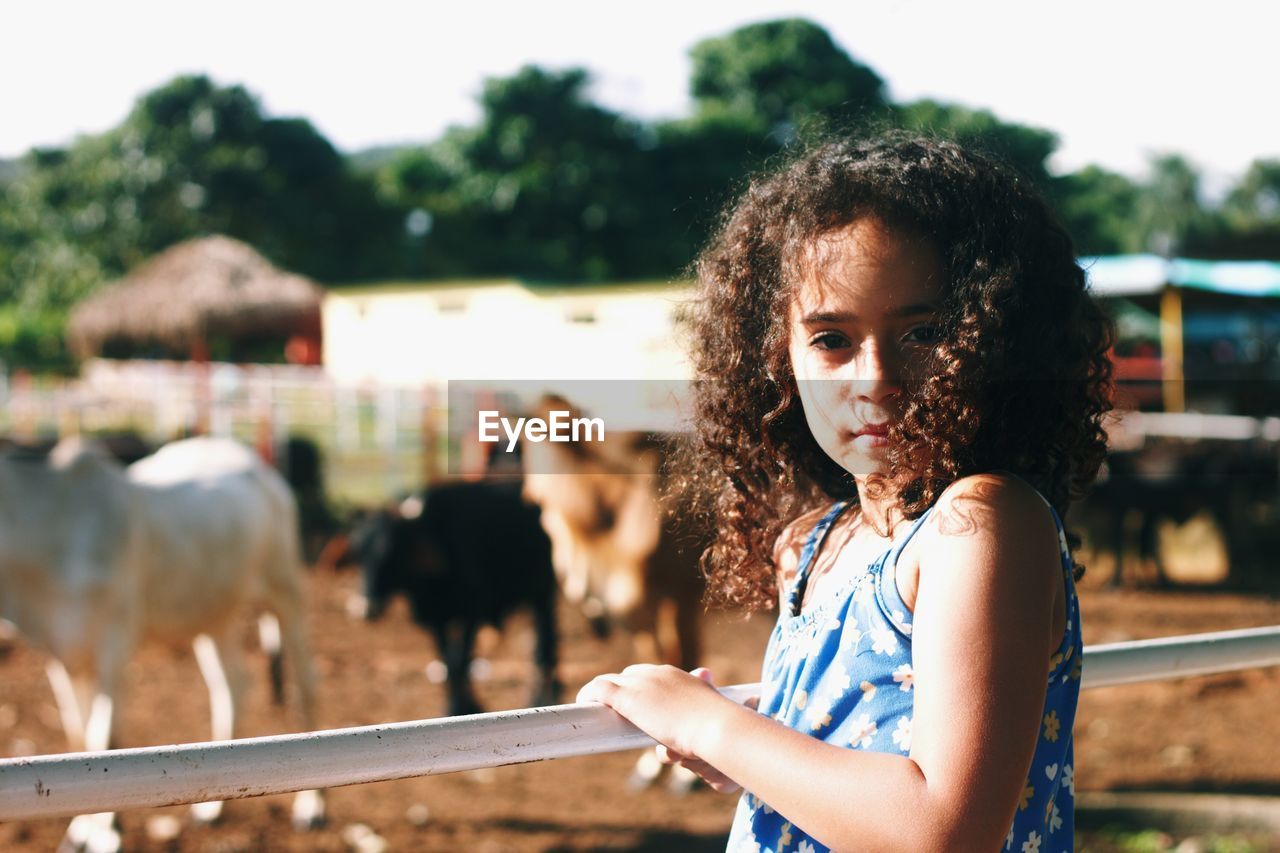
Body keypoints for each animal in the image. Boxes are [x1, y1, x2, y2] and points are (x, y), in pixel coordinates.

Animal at [0, 438, 325, 850]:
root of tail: (259, 467)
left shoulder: (114, 643)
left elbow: (105, 737)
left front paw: (109, 832)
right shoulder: (60, 655)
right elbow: (79, 735)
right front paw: (79, 832)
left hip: (285, 589)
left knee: (306, 686)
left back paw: (312, 807)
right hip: (214, 614)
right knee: (234, 686)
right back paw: (213, 809)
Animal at [355, 481, 565, 712]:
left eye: (392, 552)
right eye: (359, 553)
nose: (366, 606)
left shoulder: (472, 612)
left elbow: (459, 662)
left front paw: (461, 707)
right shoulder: (436, 619)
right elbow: (448, 662)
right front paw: (462, 705)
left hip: (543, 594)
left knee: (544, 645)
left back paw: (541, 697)